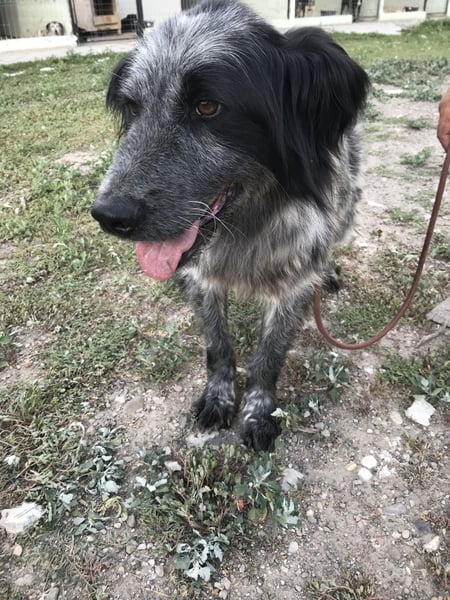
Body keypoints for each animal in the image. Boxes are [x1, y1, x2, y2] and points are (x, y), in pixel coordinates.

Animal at [91, 0, 369, 451]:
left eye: (208, 107)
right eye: (133, 107)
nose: (110, 216)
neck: (246, 227)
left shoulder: (291, 286)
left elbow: (268, 359)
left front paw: (258, 413)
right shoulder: (202, 279)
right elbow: (217, 347)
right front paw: (219, 397)